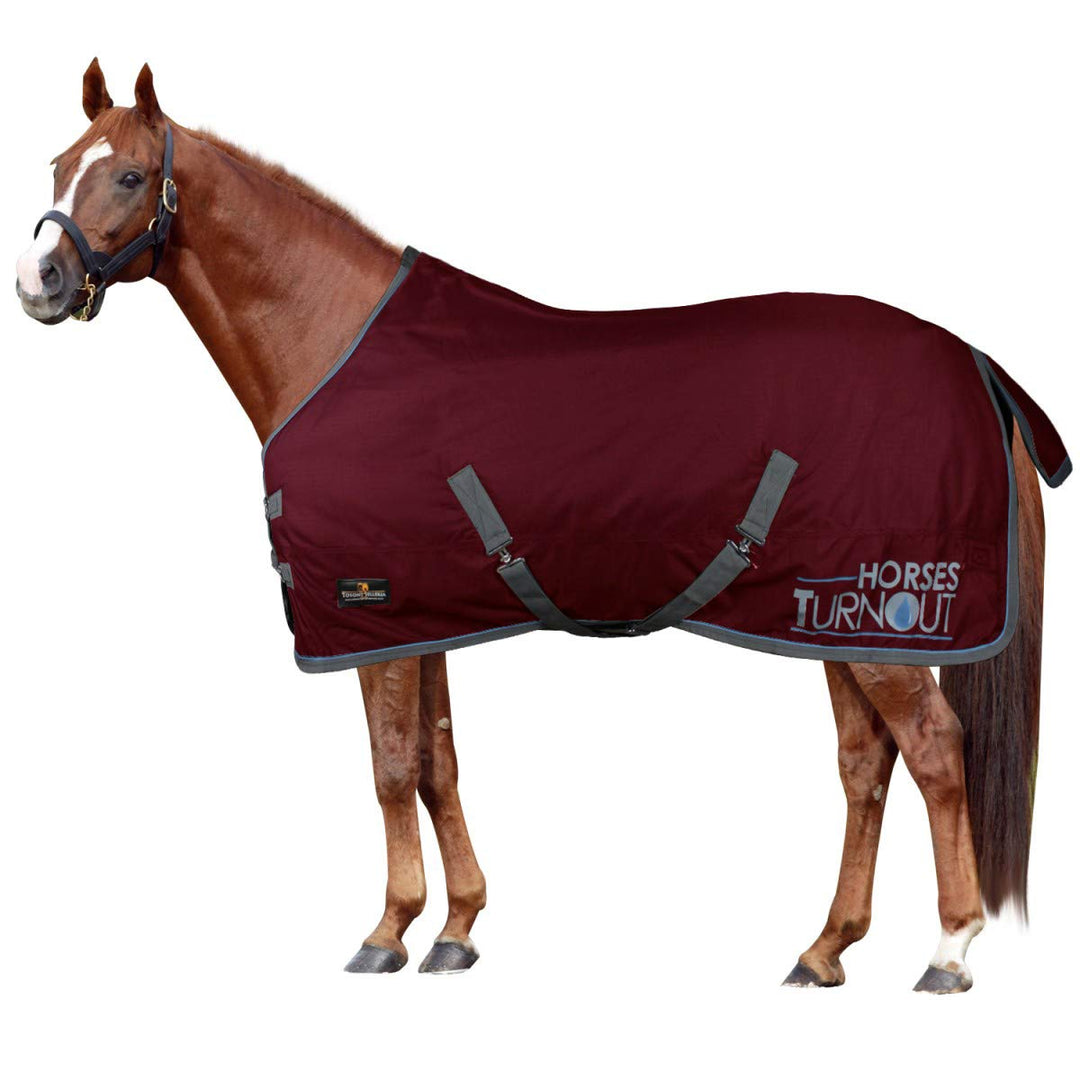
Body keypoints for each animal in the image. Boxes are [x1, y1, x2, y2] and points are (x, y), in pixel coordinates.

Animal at [15, 60, 1063, 992]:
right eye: (58, 162)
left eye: (129, 174)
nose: (39, 280)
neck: (331, 341)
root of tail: (975, 365)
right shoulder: (419, 617)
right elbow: (436, 763)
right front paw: (456, 931)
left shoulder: (366, 608)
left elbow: (390, 768)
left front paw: (387, 933)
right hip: (825, 617)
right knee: (865, 765)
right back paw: (824, 950)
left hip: (886, 618)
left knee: (934, 752)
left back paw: (949, 952)